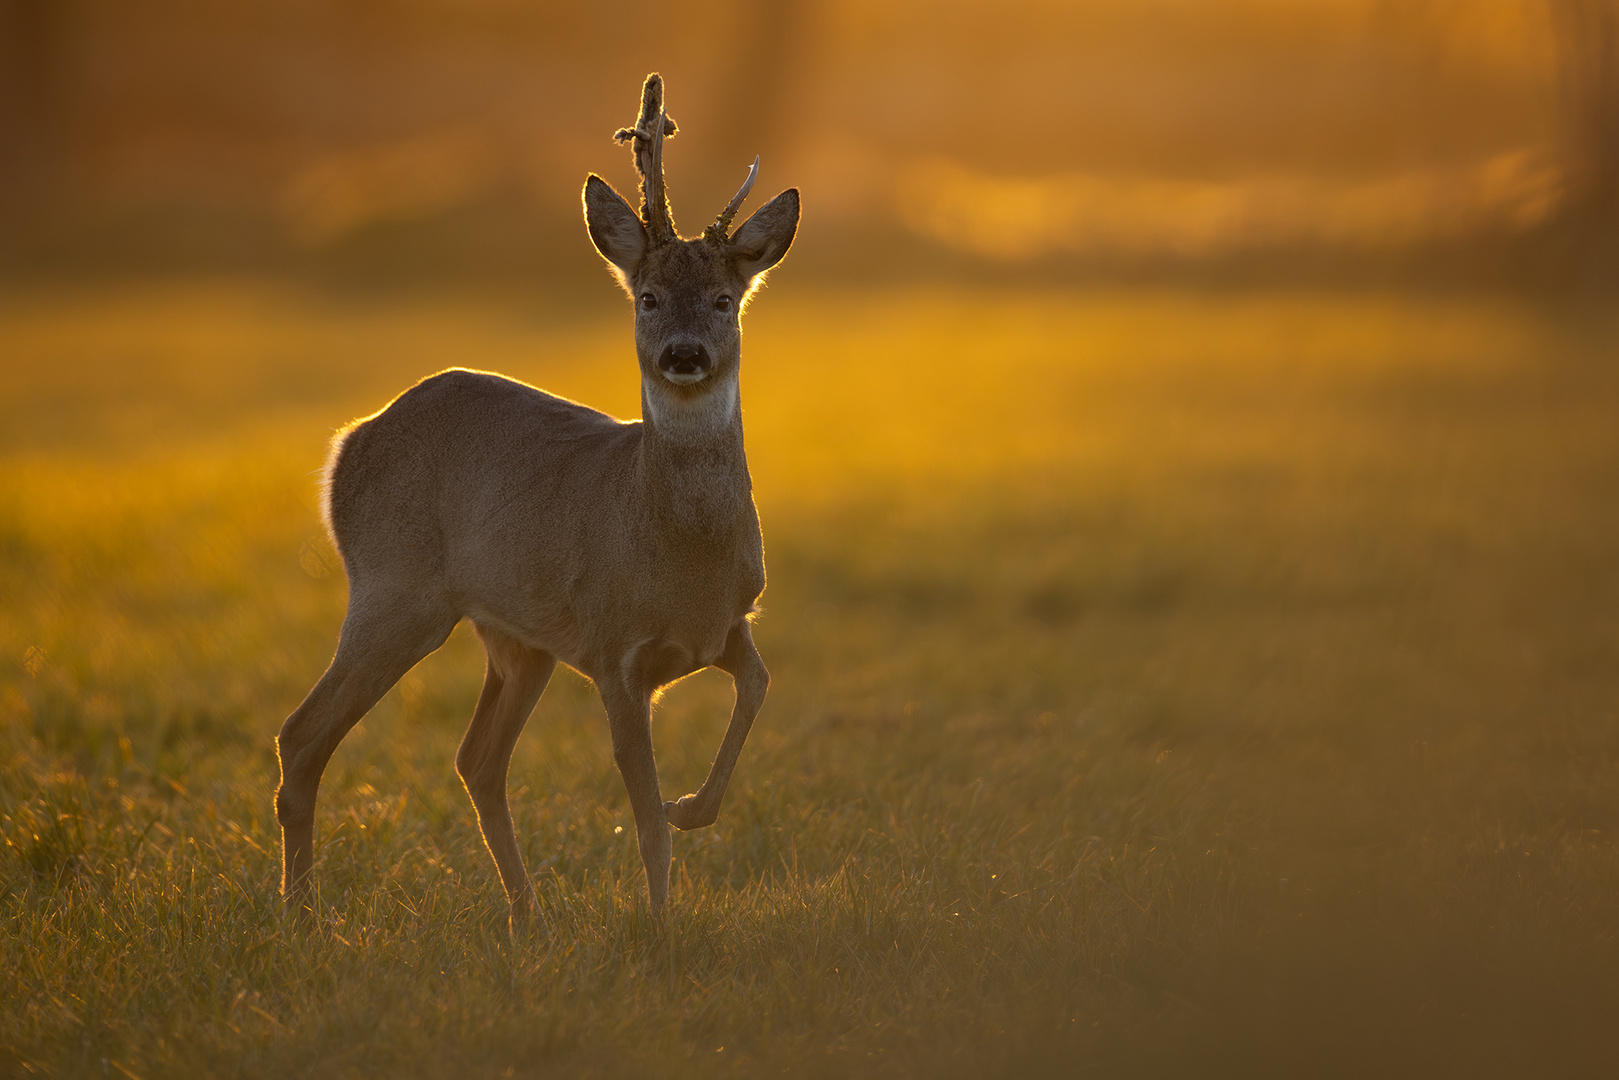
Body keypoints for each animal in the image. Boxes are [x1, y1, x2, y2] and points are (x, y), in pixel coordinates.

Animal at [276, 74, 796, 932]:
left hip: (515, 638)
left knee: (476, 760)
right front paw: (660, 926)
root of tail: (347, 444)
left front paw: (694, 806)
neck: (681, 558)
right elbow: (643, 818)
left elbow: (757, 689)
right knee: (302, 733)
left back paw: (529, 916)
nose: (683, 355)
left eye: (725, 299)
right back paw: (305, 914)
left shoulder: (730, 622)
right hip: (396, 588)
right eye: (648, 296)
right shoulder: (613, 649)